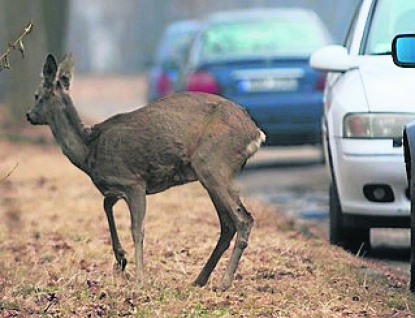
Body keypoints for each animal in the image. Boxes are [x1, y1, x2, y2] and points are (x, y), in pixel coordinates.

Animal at [26, 54, 266, 290]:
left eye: (37, 95)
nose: (29, 115)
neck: (89, 151)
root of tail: (255, 133)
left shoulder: (134, 182)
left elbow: (137, 229)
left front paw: (139, 279)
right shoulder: (116, 186)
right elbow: (106, 206)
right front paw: (121, 259)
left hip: (212, 163)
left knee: (243, 219)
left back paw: (223, 282)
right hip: (212, 174)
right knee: (227, 224)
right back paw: (200, 279)